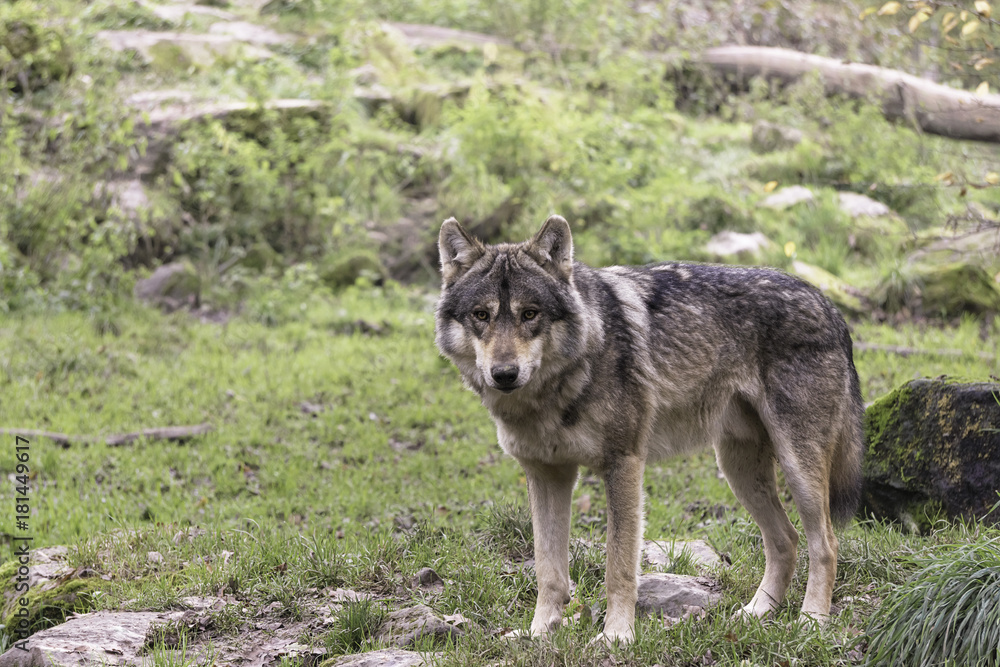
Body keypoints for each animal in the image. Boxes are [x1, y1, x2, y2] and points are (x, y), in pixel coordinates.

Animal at [434, 217, 864, 644]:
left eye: (529, 314)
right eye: (481, 315)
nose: (504, 374)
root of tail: (829, 304)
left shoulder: (623, 464)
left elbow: (619, 566)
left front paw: (616, 635)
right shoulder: (546, 475)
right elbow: (548, 571)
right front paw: (539, 633)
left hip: (796, 467)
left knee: (825, 543)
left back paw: (812, 621)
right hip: (737, 470)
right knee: (786, 540)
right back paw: (757, 613)